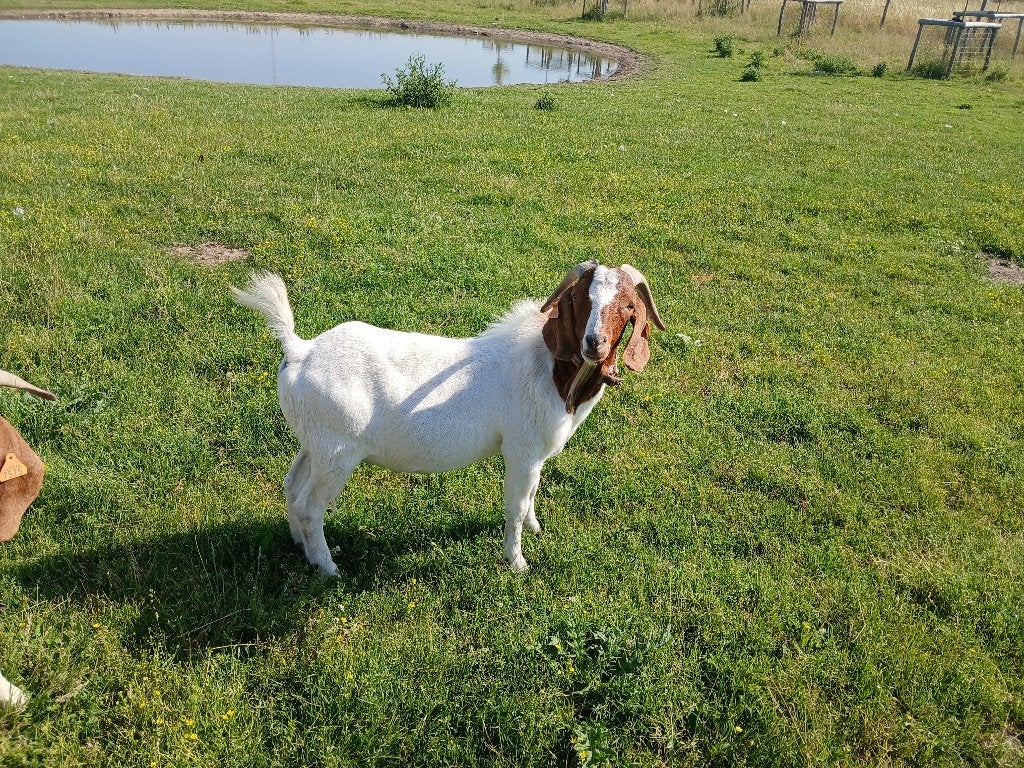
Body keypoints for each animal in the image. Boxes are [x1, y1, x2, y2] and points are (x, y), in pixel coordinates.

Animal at [232, 260, 664, 574]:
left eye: (629, 305)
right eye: (577, 299)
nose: (595, 344)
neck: (547, 369)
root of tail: (299, 350)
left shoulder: (537, 454)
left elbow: (531, 496)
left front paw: (536, 528)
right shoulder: (521, 451)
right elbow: (515, 504)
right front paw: (517, 563)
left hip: (315, 443)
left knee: (292, 486)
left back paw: (300, 547)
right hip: (337, 451)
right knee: (310, 505)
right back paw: (328, 568)